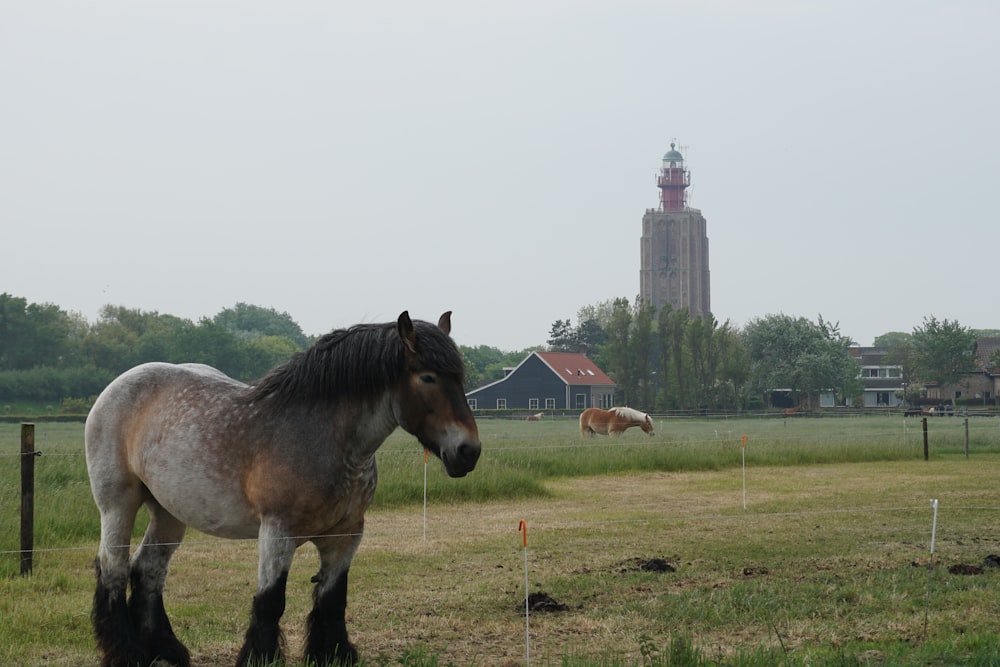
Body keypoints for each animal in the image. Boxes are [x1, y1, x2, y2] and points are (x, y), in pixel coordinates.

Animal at [84, 314, 482, 667]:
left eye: (460, 377)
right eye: (428, 377)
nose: (468, 451)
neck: (324, 438)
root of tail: (117, 385)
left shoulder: (347, 534)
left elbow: (332, 599)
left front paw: (332, 655)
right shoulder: (278, 531)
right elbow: (270, 601)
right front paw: (260, 657)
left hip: (168, 512)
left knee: (148, 571)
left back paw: (166, 652)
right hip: (117, 504)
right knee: (114, 569)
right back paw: (127, 654)